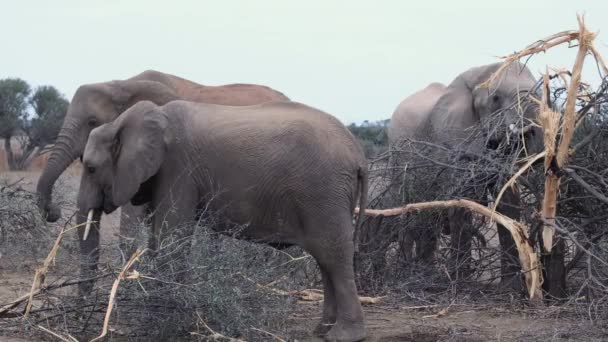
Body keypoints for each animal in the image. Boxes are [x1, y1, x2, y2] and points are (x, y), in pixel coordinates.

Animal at [78, 99, 368, 342]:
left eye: (91, 168)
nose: (82, 313)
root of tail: (359, 155)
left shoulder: (178, 169)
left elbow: (173, 234)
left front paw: (167, 321)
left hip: (324, 192)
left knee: (333, 255)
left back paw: (343, 336)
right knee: (325, 258)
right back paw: (322, 331)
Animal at [388, 62, 544, 288]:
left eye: (539, 92)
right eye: (496, 98)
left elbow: (507, 201)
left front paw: (510, 286)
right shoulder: (455, 139)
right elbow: (462, 201)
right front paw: (462, 282)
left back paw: (426, 273)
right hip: (397, 160)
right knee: (409, 209)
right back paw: (411, 272)